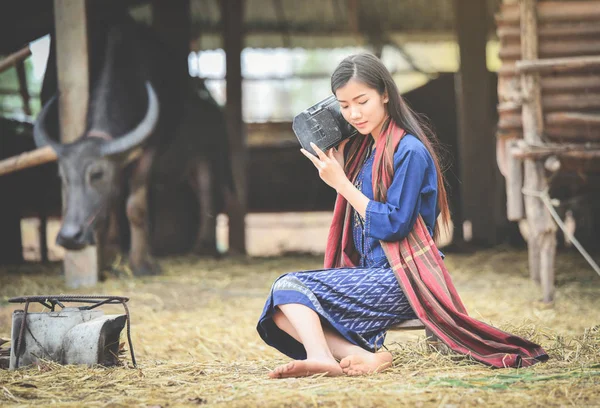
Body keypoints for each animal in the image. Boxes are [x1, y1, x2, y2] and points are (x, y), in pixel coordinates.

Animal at [34, 17, 233, 276]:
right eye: (63, 177)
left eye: (97, 174)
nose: (69, 237)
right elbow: (113, 200)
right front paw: (110, 254)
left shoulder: (150, 149)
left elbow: (135, 206)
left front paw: (141, 263)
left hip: (207, 160)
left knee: (208, 196)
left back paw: (204, 248)